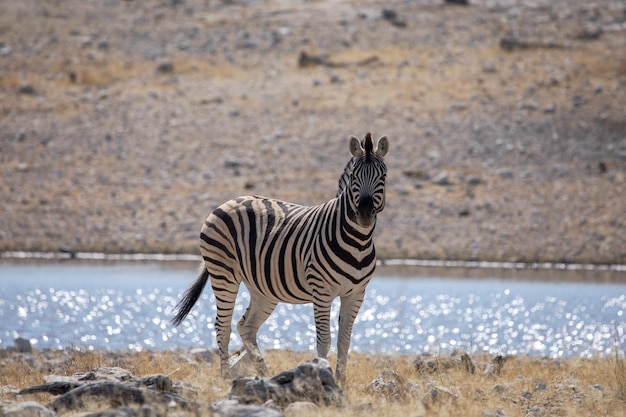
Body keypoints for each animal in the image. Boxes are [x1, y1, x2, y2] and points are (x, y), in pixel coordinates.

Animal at [169, 132, 386, 382]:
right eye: (354, 177)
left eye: (383, 176)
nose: (365, 215)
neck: (358, 243)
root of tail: (230, 201)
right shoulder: (321, 292)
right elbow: (324, 341)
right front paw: (324, 375)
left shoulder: (356, 294)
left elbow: (345, 341)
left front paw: (341, 382)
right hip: (223, 273)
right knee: (222, 326)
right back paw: (226, 378)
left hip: (262, 288)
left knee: (246, 326)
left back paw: (264, 374)